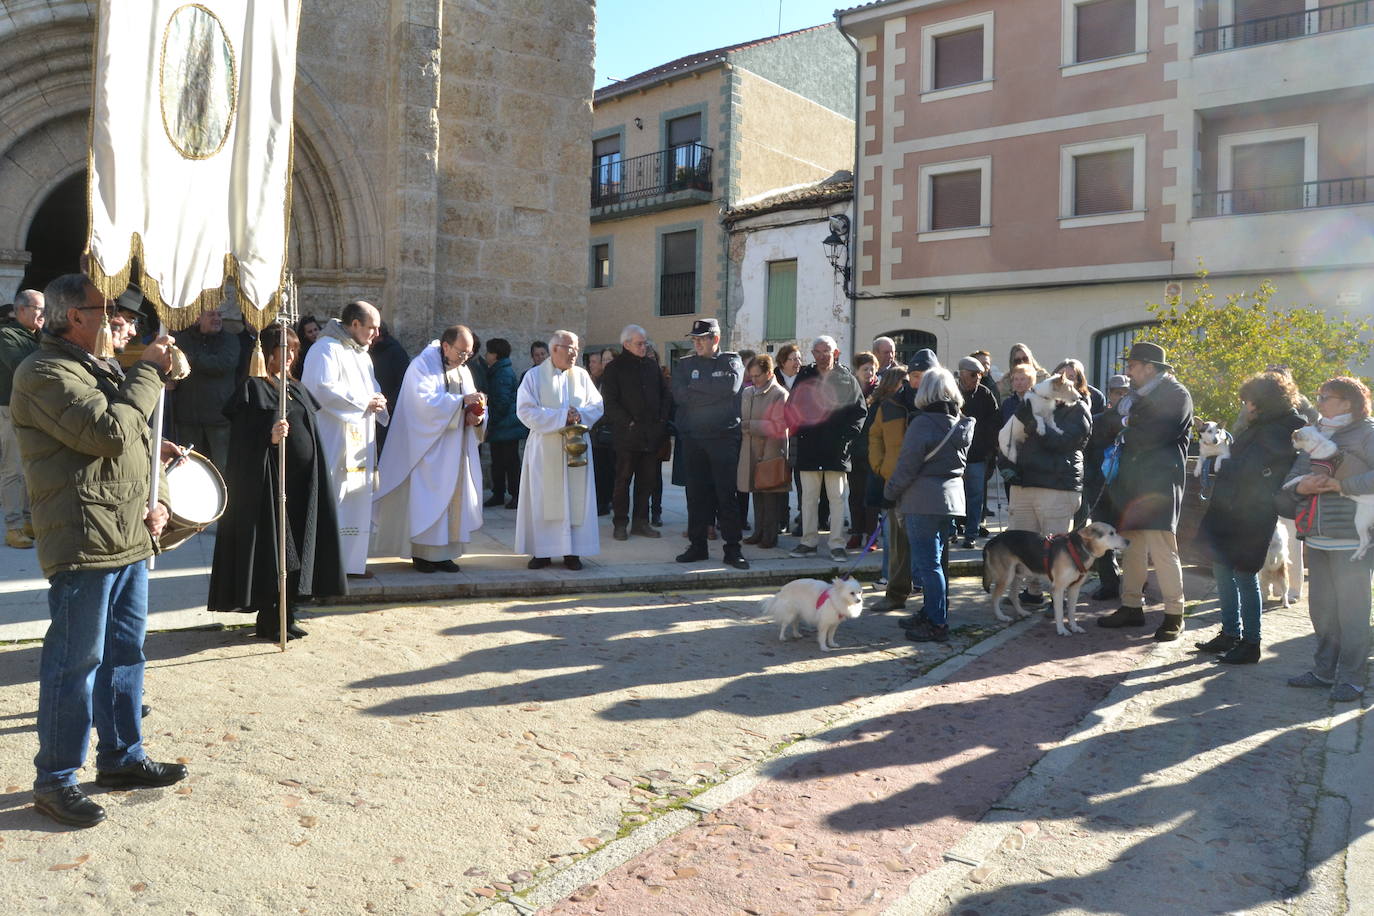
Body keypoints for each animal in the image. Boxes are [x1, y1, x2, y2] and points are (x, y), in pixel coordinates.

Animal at [989, 521, 1126, 637]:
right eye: (1111, 533)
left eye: (1115, 531)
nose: (1128, 541)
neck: (1079, 549)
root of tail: (994, 539)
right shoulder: (1058, 589)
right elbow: (1059, 612)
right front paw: (1061, 630)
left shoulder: (1074, 589)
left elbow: (1072, 612)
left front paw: (1074, 627)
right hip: (1007, 577)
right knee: (995, 597)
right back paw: (1001, 616)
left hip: (1018, 575)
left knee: (1012, 595)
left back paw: (1022, 612)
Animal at [1286, 428, 1374, 560]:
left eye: (1294, 438)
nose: (1292, 444)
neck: (1318, 445)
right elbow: (1300, 477)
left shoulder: (1318, 475)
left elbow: (1300, 477)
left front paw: (1287, 484)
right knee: (1368, 539)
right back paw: (1360, 555)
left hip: (1361, 519)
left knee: (1365, 540)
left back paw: (1354, 556)